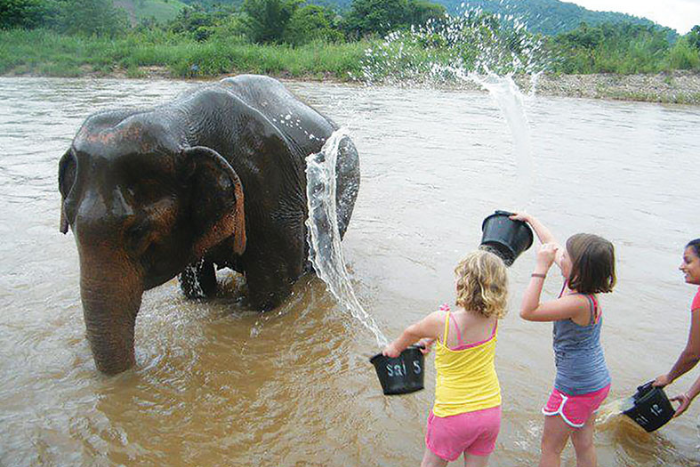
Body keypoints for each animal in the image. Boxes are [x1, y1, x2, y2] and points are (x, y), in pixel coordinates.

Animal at [58, 74, 360, 375]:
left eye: (138, 232)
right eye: (68, 220)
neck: (176, 120)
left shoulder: (271, 191)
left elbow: (271, 296)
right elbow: (196, 288)